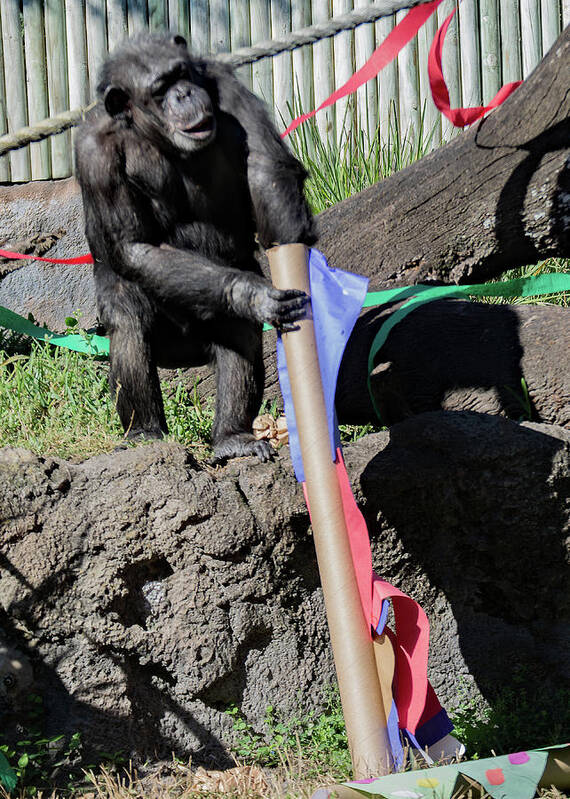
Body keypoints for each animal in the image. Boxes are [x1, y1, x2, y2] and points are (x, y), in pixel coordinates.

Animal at [74, 36, 316, 462]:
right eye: (159, 90)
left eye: (181, 74)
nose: (184, 94)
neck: (152, 134)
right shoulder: (94, 154)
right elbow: (134, 245)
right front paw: (251, 294)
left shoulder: (225, 85)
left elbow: (265, 167)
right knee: (129, 320)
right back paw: (144, 432)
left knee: (237, 331)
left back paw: (233, 437)